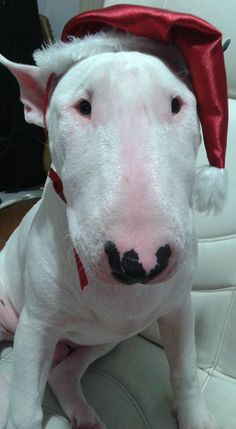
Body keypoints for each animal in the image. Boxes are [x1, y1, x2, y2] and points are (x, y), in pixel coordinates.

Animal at [0, 4, 229, 428]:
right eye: (83, 107)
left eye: (176, 104)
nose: (141, 259)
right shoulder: (36, 327)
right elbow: (24, 409)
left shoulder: (178, 309)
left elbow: (185, 372)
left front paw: (197, 417)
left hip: (108, 337)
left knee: (62, 371)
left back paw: (84, 414)